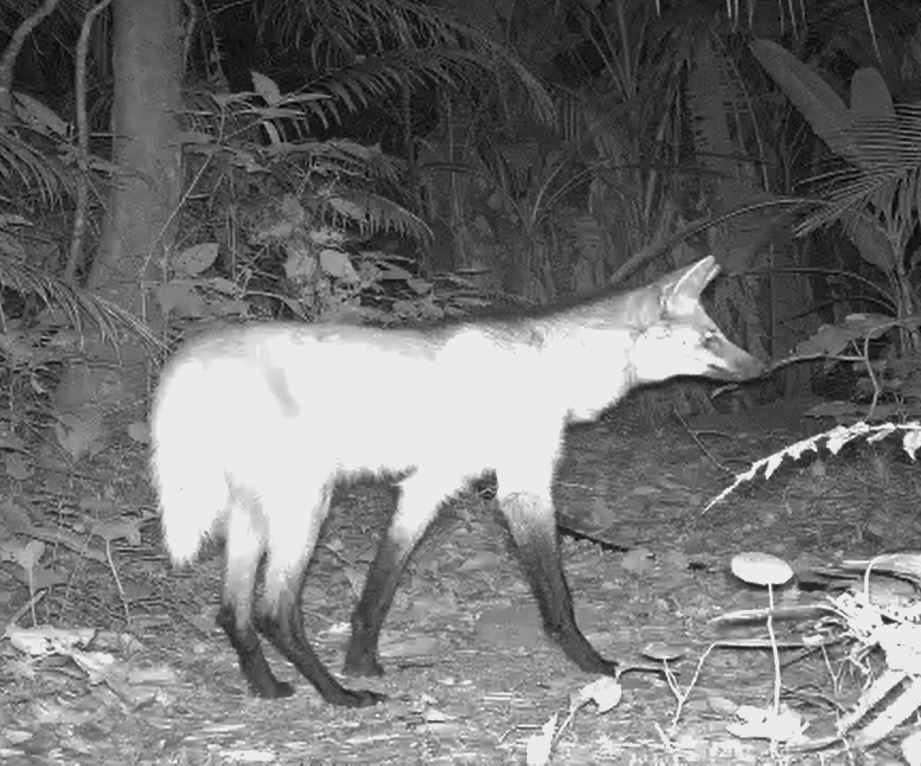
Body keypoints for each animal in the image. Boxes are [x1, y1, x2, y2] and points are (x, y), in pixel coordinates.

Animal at [151, 256, 760, 708]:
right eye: (710, 339)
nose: (761, 367)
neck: (554, 366)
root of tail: (195, 352)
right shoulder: (522, 488)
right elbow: (558, 599)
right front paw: (594, 663)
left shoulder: (430, 484)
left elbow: (378, 589)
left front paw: (363, 661)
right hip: (307, 504)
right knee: (274, 611)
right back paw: (336, 696)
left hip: (255, 513)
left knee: (232, 612)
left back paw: (269, 687)